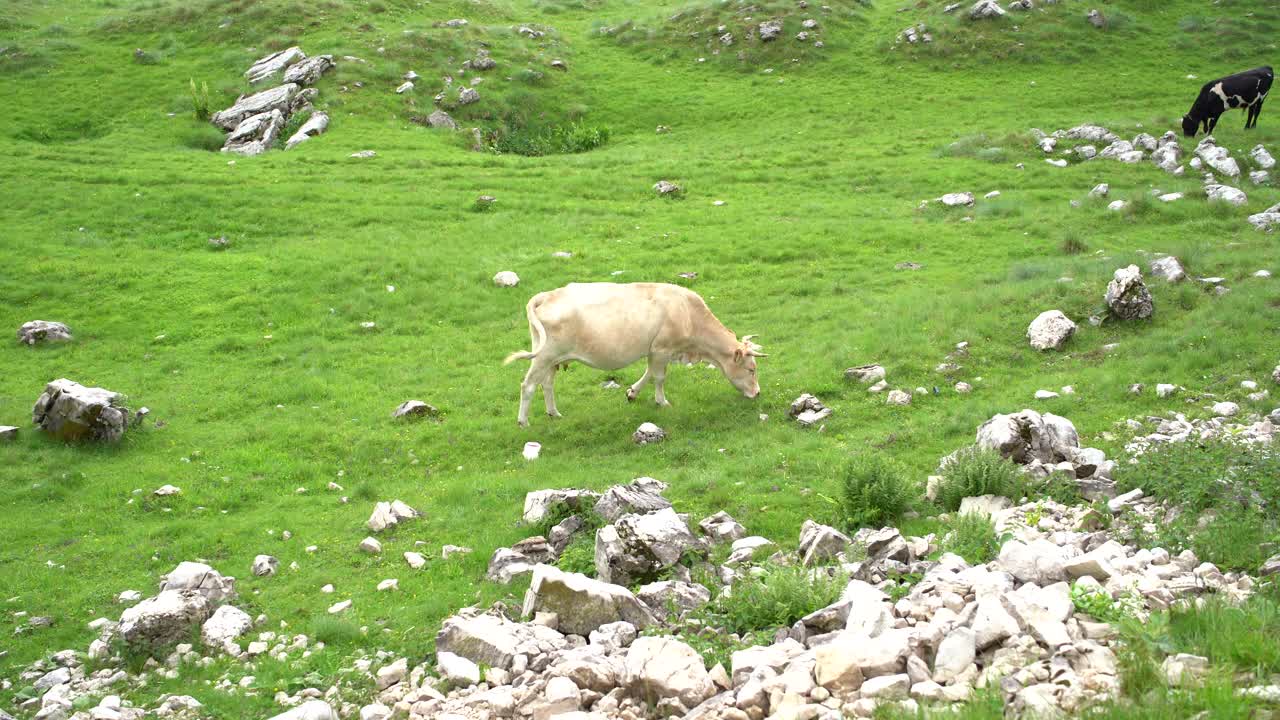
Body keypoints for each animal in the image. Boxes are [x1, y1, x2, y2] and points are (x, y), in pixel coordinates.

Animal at [499, 281, 762, 425]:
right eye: (751, 369)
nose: (758, 393)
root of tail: (546, 295)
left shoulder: (654, 350)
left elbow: (649, 373)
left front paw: (632, 393)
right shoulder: (662, 348)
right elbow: (659, 377)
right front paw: (662, 402)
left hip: (551, 358)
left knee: (547, 384)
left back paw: (554, 413)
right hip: (544, 356)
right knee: (528, 385)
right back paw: (523, 421)